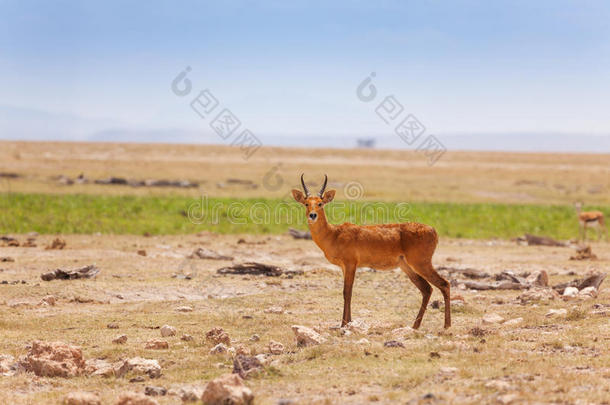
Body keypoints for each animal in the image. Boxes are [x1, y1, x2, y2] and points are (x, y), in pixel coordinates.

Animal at [292, 174, 448, 328]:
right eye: (306, 203)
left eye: (320, 203)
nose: (312, 215)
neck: (334, 234)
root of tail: (433, 230)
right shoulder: (344, 267)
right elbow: (348, 292)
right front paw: (348, 322)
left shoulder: (350, 264)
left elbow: (347, 292)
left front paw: (344, 324)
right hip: (407, 267)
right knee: (427, 289)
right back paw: (415, 326)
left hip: (421, 264)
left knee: (444, 284)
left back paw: (446, 326)